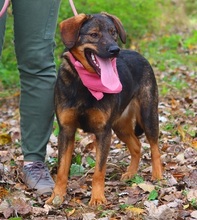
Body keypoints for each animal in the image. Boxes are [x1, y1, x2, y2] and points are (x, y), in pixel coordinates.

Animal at [46, 12, 163, 206]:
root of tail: (139, 55)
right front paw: (57, 196)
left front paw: (98, 198)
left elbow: (99, 171)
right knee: (137, 146)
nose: (115, 50)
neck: (84, 83)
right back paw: (131, 173)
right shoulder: (66, 131)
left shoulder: (103, 132)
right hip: (120, 126)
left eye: (113, 32)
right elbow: (62, 169)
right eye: (94, 34)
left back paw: (158, 175)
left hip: (148, 116)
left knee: (154, 147)